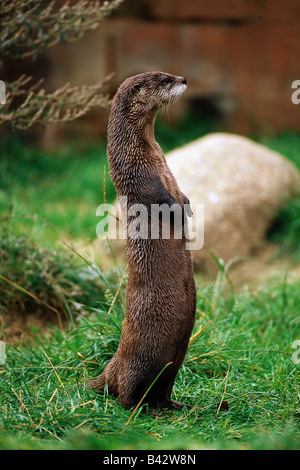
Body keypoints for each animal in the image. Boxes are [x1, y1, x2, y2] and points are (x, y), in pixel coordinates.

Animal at [89, 71, 197, 410]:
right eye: (164, 80)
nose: (183, 78)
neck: (150, 153)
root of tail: (110, 366)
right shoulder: (140, 176)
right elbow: (163, 199)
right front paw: (179, 213)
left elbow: (180, 191)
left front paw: (188, 206)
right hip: (141, 359)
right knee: (126, 391)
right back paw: (139, 408)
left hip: (175, 359)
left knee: (162, 386)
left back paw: (174, 405)